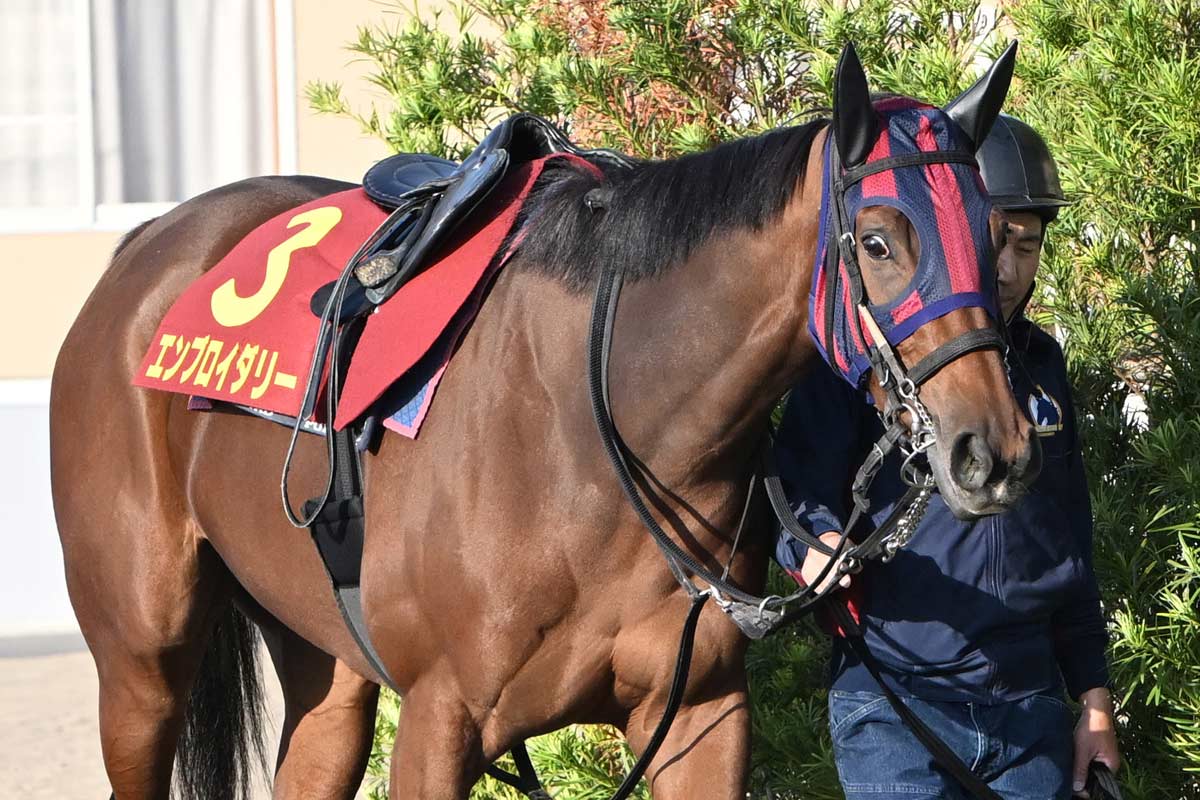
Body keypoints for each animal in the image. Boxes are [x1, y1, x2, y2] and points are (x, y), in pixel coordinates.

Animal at [50, 44, 1039, 800]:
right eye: (877, 240)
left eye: (995, 235)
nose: (990, 451)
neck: (592, 440)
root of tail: (143, 247)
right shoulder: (440, 722)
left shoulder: (704, 715)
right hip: (141, 663)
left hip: (323, 665)